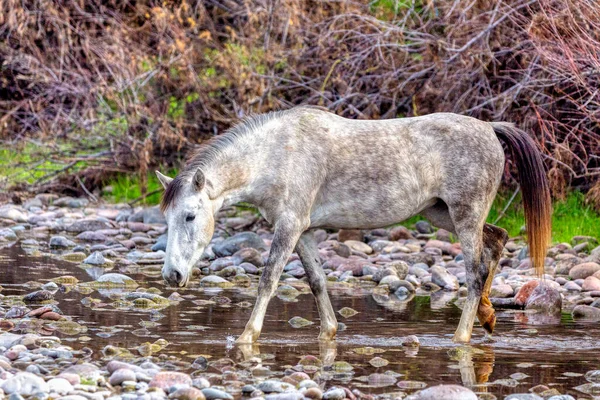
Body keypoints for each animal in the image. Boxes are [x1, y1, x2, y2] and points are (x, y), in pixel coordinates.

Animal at [156, 106, 552, 344]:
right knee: (497, 241)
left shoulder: (289, 225)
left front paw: (246, 337)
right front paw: (328, 332)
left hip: (464, 215)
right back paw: (488, 315)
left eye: (190, 216)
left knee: (473, 273)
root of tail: (490, 128)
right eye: (168, 219)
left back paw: (462, 337)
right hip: (441, 213)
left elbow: (268, 280)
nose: (172, 276)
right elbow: (316, 281)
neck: (276, 154)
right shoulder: (303, 230)